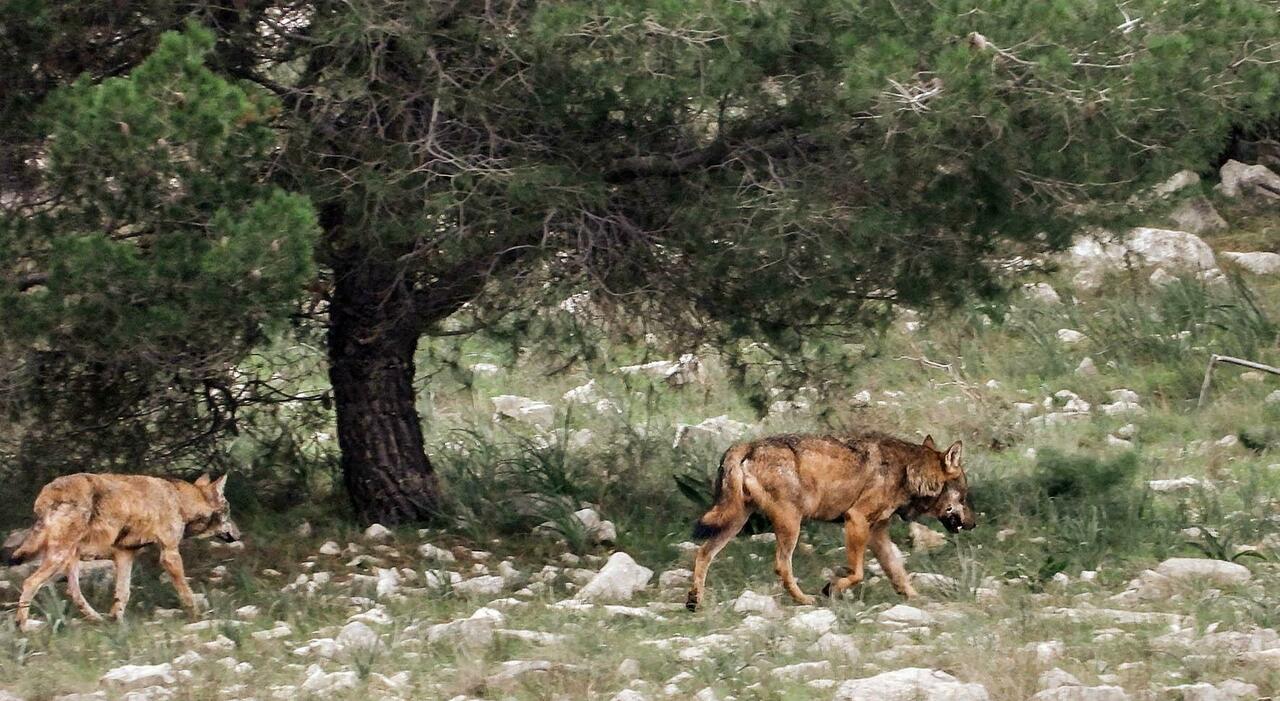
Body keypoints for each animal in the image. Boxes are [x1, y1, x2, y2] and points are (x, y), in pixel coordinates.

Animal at [5, 473, 241, 631]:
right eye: (229, 512)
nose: (239, 534)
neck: (180, 501)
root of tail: (47, 492)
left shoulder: (125, 554)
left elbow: (123, 593)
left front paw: (116, 622)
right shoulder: (169, 553)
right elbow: (186, 592)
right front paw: (197, 617)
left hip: (69, 560)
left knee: (73, 592)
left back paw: (97, 619)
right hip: (59, 558)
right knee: (30, 583)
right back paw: (22, 626)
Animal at [686, 433, 975, 611]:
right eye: (965, 496)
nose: (974, 524)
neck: (908, 471)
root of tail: (747, 445)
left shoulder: (877, 532)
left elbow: (898, 573)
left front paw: (917, 599)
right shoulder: (856, 520)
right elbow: (857, 573)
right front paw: (831, 588)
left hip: (735, 522)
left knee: (703, 554)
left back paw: (694, 601)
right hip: (790, 524)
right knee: (781, 566)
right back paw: (804, 599)